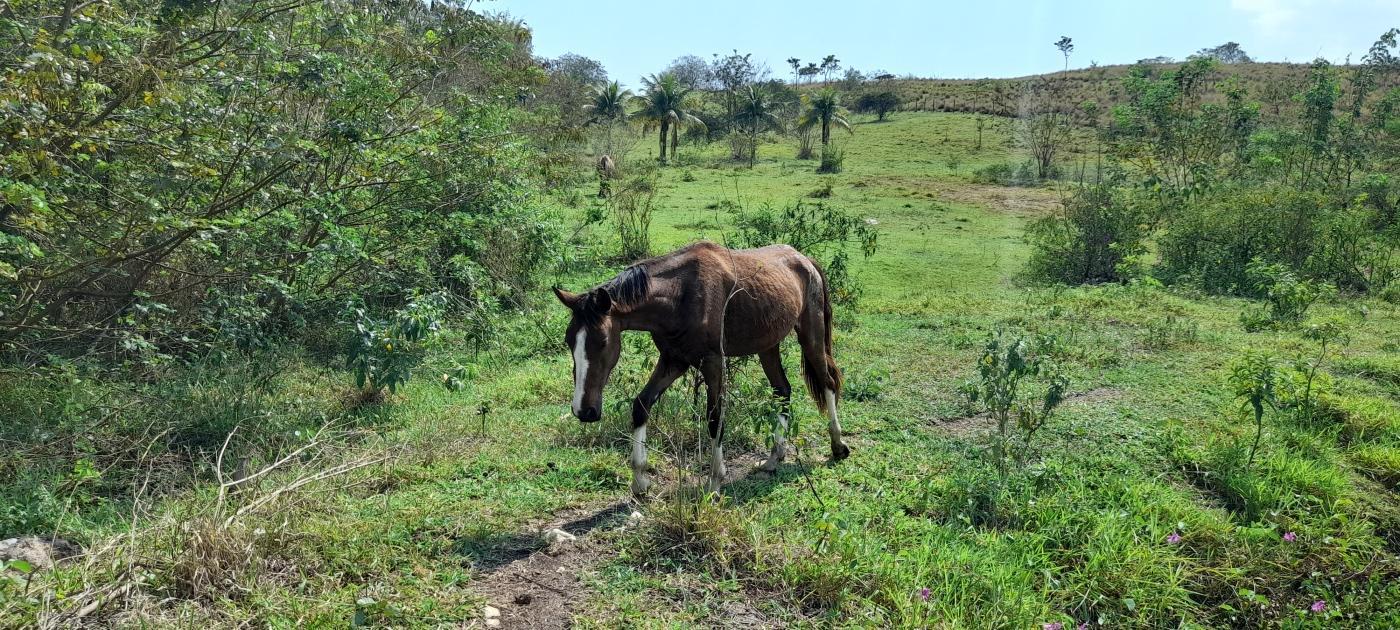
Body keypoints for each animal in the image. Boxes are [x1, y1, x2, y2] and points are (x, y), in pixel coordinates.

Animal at [551, 240, 845, 498]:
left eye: (602, 342)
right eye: (569, 340)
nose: (583, 411)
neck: (679, 295)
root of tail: (804, 259)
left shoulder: (713, 363)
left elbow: (714, 418)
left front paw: (715, 481)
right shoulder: (673, 361)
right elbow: (641, 405)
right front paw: (640, 481)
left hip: (811, 336)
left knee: (827, 382)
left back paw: (838, 445)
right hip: (768, 346)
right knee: (782, 391)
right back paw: (775, 457)